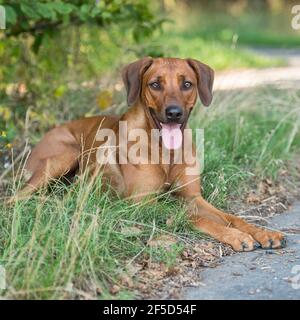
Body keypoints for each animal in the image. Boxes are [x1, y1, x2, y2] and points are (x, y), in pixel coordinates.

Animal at [14, 58, 286, 252]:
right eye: (155, 84)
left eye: (187, 84)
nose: (174, 113)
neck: (165, 150)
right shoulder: (143, 202)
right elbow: (194, 218)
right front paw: (235, 236)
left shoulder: (193, 197)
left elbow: (230, 217)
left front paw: (260, 231)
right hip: (63, 157)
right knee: (15, 198)